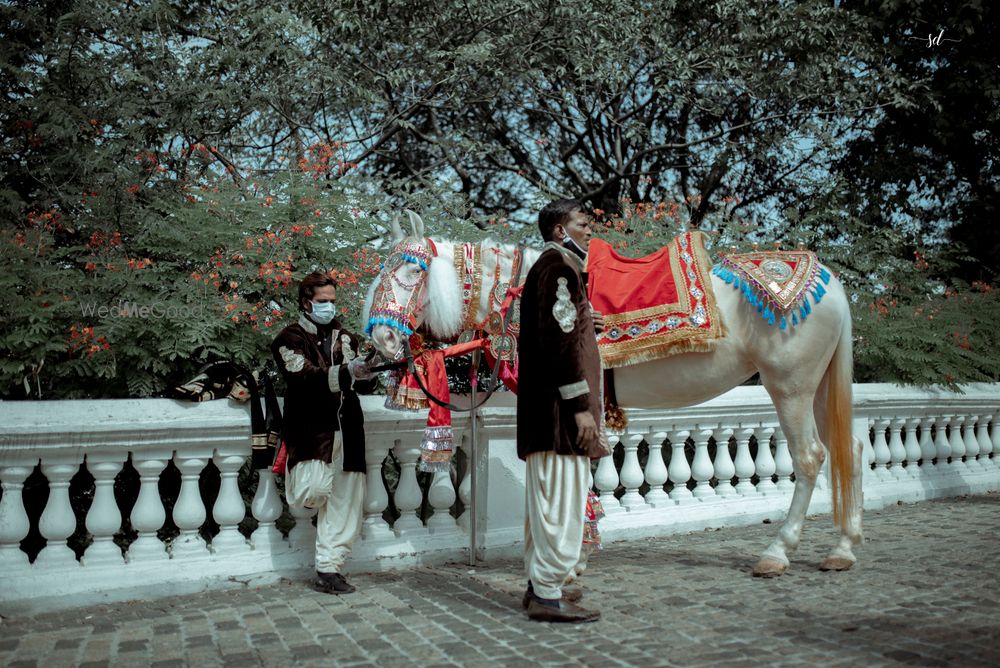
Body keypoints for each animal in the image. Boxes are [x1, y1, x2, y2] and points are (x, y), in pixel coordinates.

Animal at [364, 213, 864, 576]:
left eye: (409, 269)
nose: (382, 341)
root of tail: (829, 282)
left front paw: (568, 555)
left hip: (790, 384)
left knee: (810, 457)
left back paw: (777, 552)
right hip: (818, 385)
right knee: (850, 450)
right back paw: (843, 547)